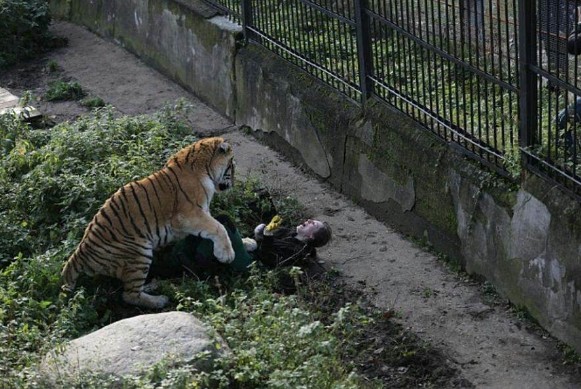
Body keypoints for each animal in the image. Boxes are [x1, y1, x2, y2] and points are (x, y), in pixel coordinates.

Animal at [61, 135, 236, 308]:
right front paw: (227, 255)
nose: (234, 182)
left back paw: (153, 285)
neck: (205, 167)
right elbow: (218, 227)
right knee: (129, 295)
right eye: (232, 164)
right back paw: (160, 300)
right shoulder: (187, 215)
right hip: (139, 253)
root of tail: (80, 253)